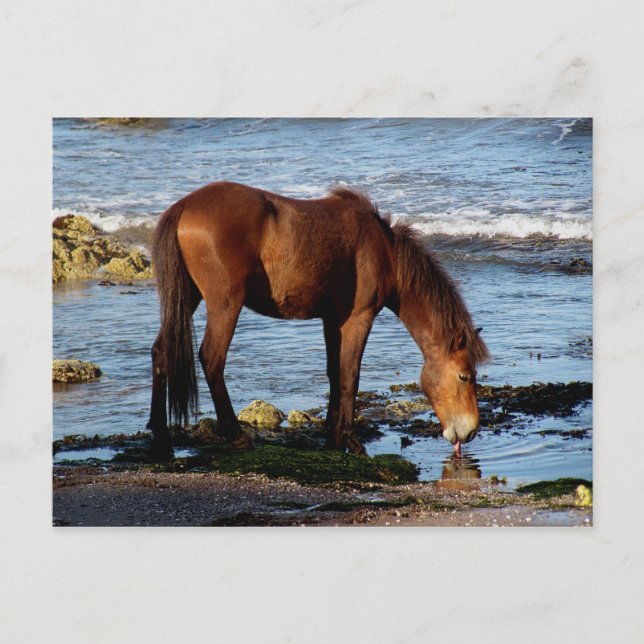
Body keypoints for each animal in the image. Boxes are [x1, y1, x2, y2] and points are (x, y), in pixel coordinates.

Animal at [147, 181, 489, 458]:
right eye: (464, 376)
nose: (471, 431)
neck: (385, 250)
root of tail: (183, 207)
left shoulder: (332, 320)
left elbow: (334, 375)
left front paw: (331, 438)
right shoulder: (358, 318)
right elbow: (350, 377)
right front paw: (350, 441)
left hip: (187, 297)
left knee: (161, 352)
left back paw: (161, 434)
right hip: (224, 305)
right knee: (212, 359)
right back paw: (235, 434)